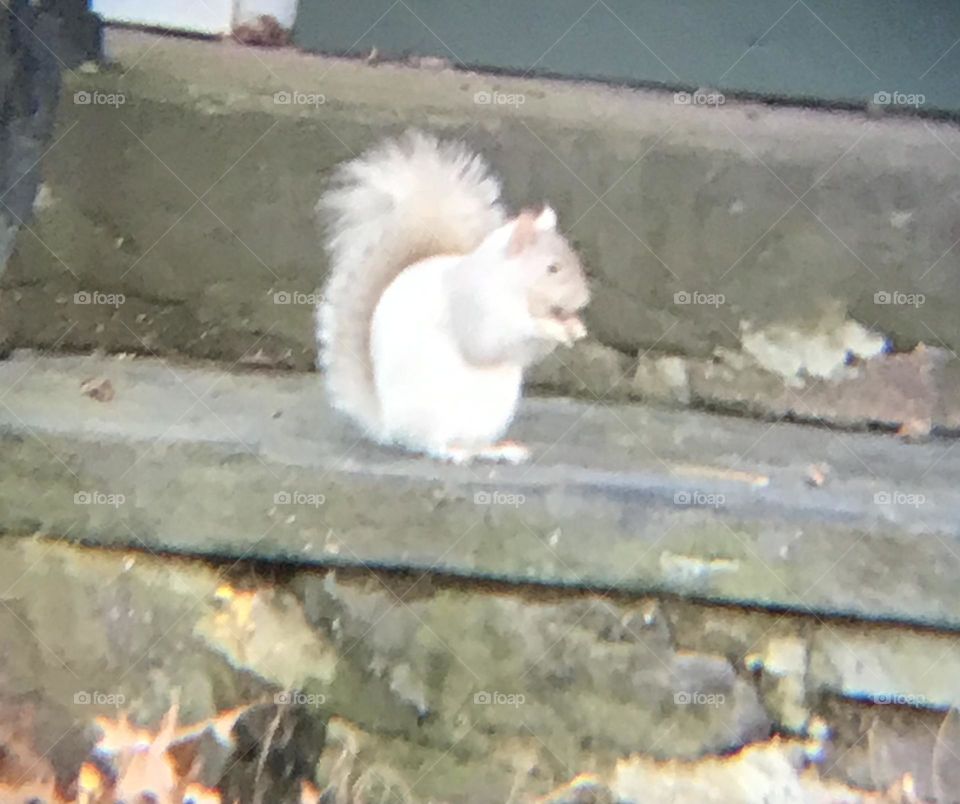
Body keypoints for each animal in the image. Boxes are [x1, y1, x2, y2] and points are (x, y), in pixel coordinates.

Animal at [315, 131, 590, 464]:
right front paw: (550, 327)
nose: (584, 299)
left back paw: (497, 450)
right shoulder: (476, 307)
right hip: (434, 413)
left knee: (473, 443)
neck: (510, 285)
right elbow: (489, 343)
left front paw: (574, 326)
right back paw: (453, 452)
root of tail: (389, 424)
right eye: (552, 268)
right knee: (430, 444)